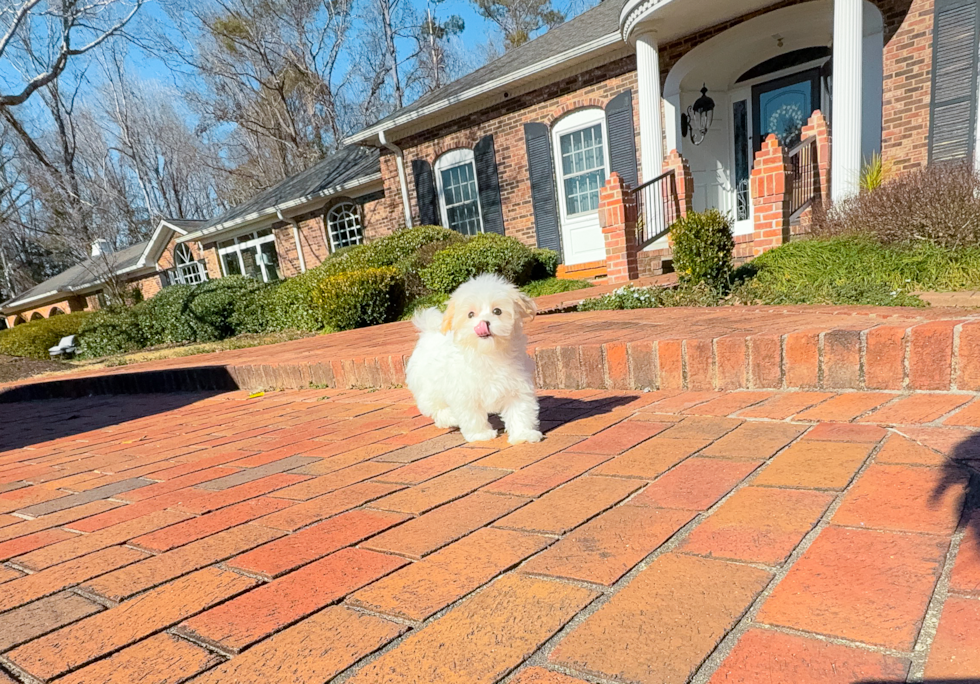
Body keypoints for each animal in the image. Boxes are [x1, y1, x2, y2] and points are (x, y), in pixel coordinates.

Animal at [406, 272, 544, 444]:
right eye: (470, 315)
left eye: (497, 311)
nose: (484, 323)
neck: (488, 353)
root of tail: (428, 331)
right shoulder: (464, 392)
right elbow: (471, 416)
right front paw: (480, 434)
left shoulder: (518, 386)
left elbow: (520, 411)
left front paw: (523, 435)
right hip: (427, 386)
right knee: (435, 407)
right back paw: (449, 417)